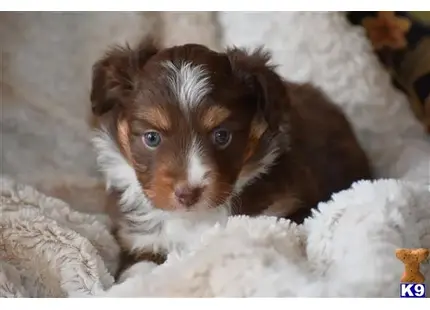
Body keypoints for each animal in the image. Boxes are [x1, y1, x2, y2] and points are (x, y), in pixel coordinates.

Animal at [90, 36, 372, 278]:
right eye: (151, 138)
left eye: (222, 135)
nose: (188, 194)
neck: (196, 218)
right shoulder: (139, 239)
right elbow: (138, 268)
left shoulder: (286, 212)